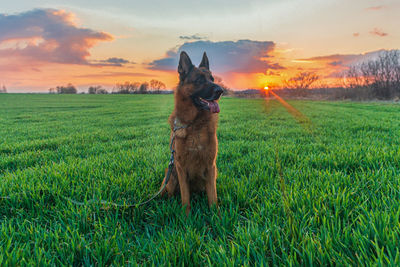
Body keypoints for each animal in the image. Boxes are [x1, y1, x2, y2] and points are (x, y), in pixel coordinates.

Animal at [161, 51, 223, 216]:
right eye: (199, 80)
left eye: (212, 79)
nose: (220, 90)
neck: (195, 125)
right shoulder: (181, 167)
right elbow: (185, 196)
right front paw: (186, 216)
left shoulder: (210, 166)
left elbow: (213, 196)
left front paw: (216, 215)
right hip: (171, 177)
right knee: (171, 194)